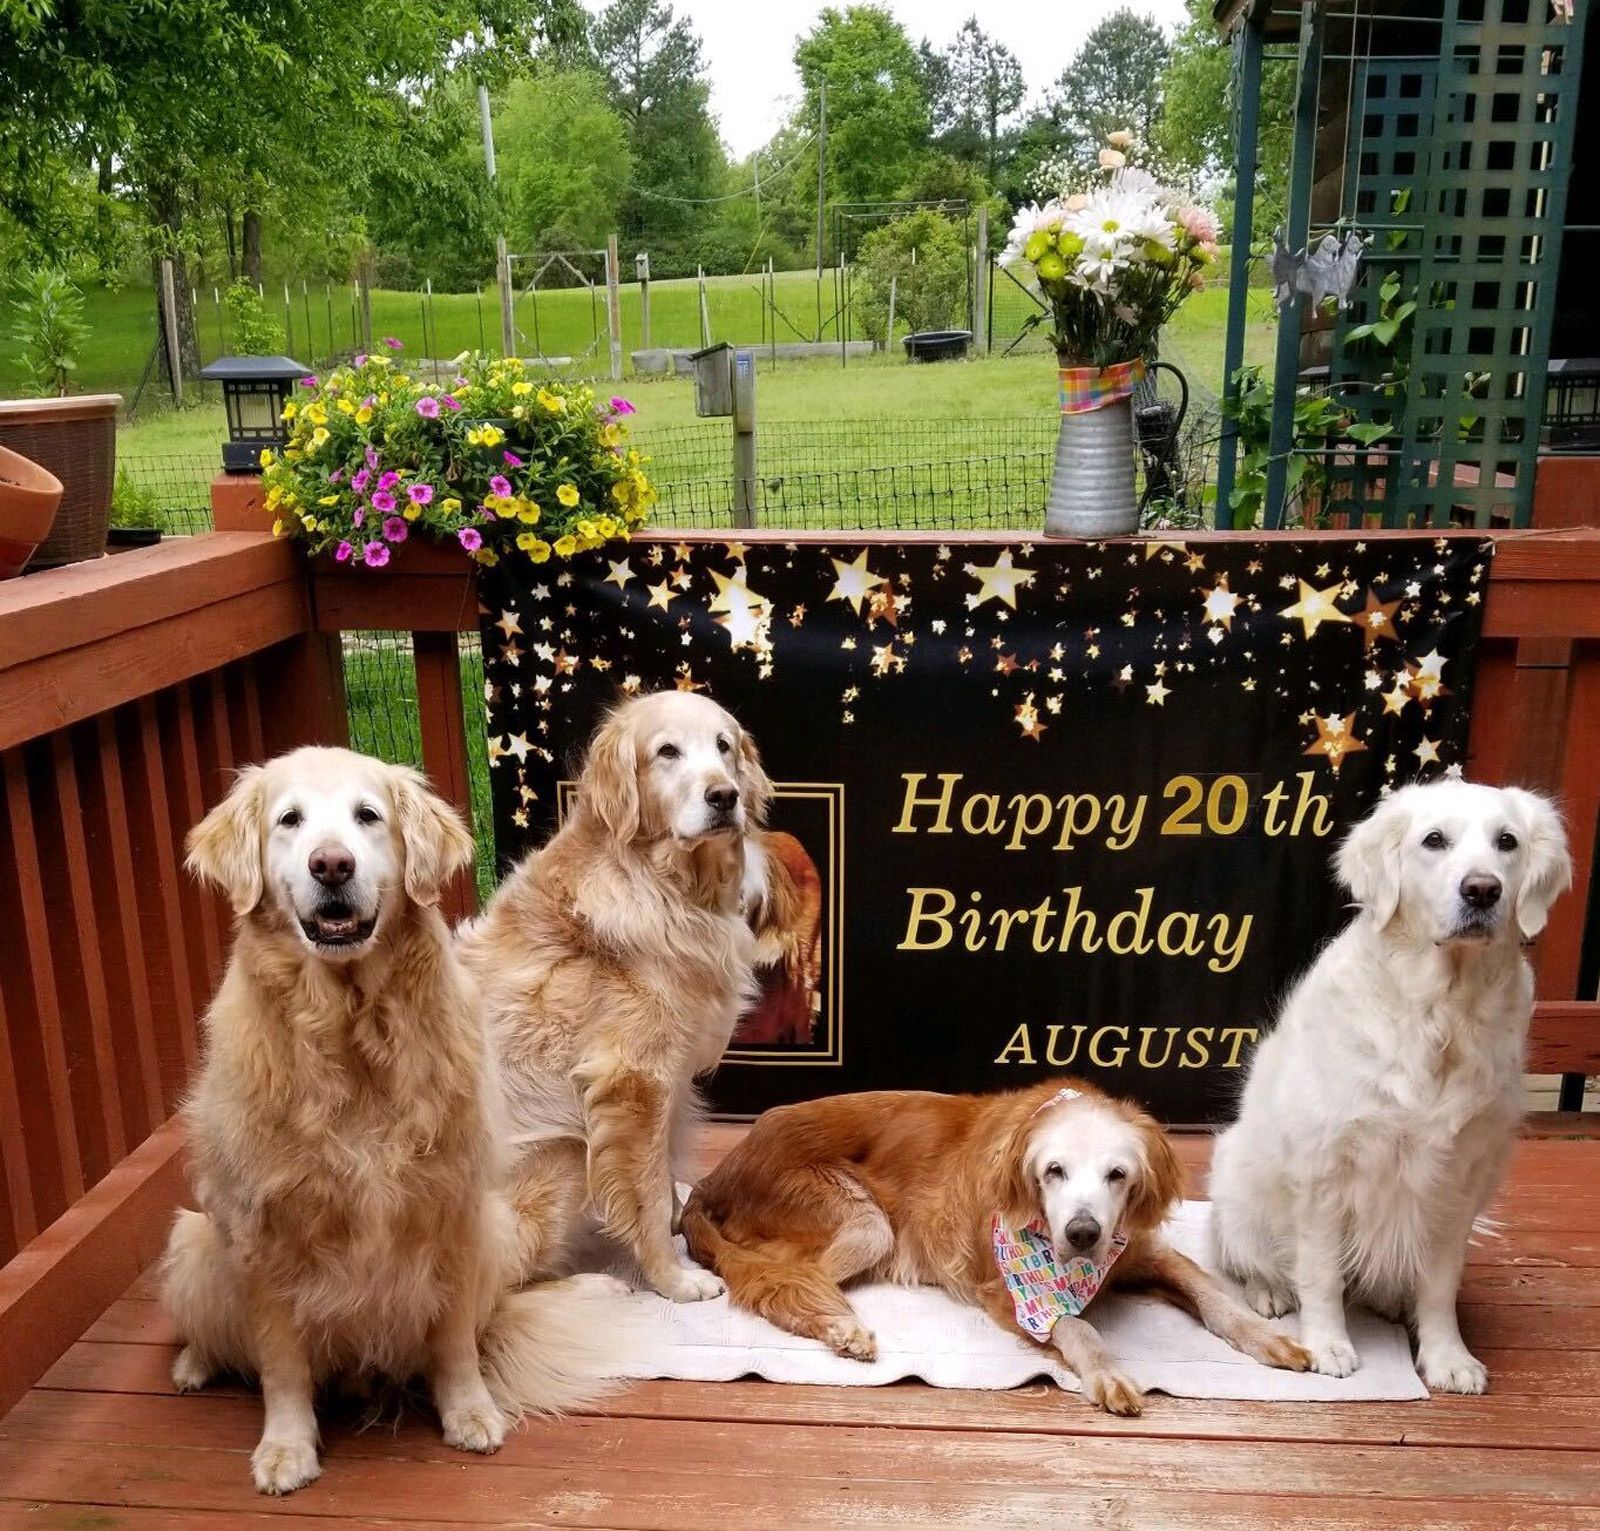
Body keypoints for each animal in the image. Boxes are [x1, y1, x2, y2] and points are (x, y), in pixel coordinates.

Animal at [162, 748, 636, 1491]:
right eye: (289, 820)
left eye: (368, 815)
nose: (332, 864)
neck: (351, 1029)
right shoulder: (263, 1230)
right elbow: (280, 1361)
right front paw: (286, 1447)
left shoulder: (454, 1211)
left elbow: (453, 1341)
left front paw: (468, 1411)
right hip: (191, 1244)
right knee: (223, 1336)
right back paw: (193, 1364)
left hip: (497, 1228)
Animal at [460, 694, 771, 1305]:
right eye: (667, 751)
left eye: (723, 745)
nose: (725, 796)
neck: (665, 885)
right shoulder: (633, 1079)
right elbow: (644, 1191)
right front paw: (674, 1278)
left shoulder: (669, 1074)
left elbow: (664, 1165)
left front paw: (680, 1219)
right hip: (558, 1155)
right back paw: (591, 1287)